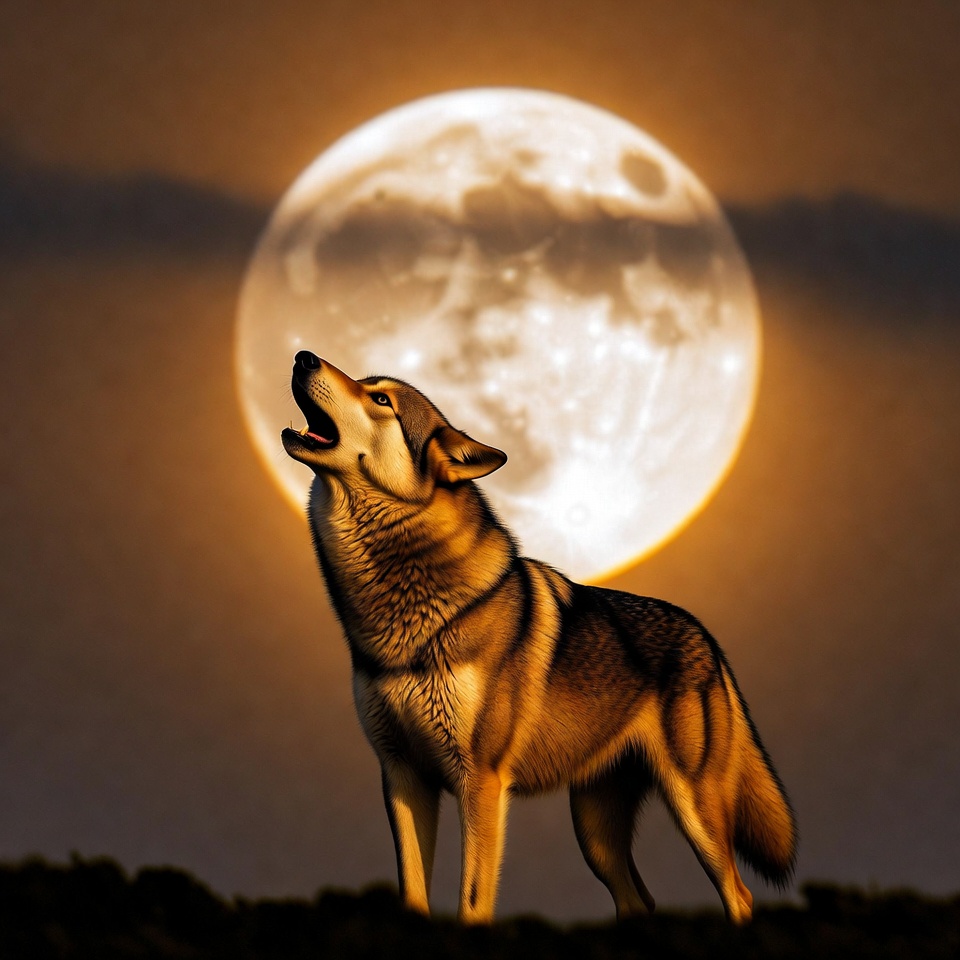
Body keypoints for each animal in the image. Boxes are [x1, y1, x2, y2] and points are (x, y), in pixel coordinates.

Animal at [281, 350, 797, 925]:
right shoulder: (402, 775)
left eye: (381, 399)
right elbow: (413, 894)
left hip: (693, 811)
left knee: (739, 893)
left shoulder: (480, 781)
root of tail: (707, 637)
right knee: (638, 900)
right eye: (367, 385)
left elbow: (473, 899)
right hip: (595, 834)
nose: (303, 356)